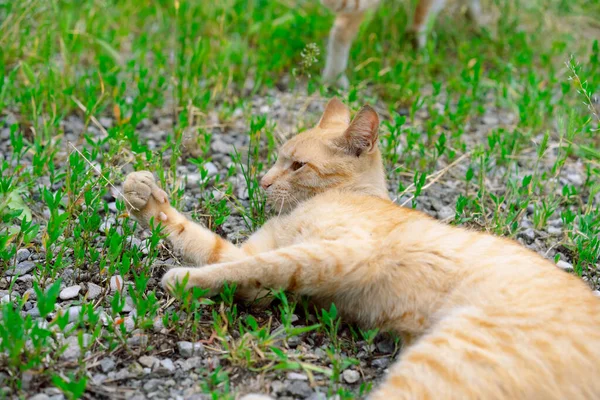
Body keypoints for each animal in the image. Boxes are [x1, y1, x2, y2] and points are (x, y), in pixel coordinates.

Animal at [124, 97, 600, 400]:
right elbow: (204, 241)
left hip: (446, 360)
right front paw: (145, 198)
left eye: (297, 165)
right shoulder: (255, 256)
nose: (262, 181)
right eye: (277, 159)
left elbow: (261, 263)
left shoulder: (342, 253)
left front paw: (185, 280)